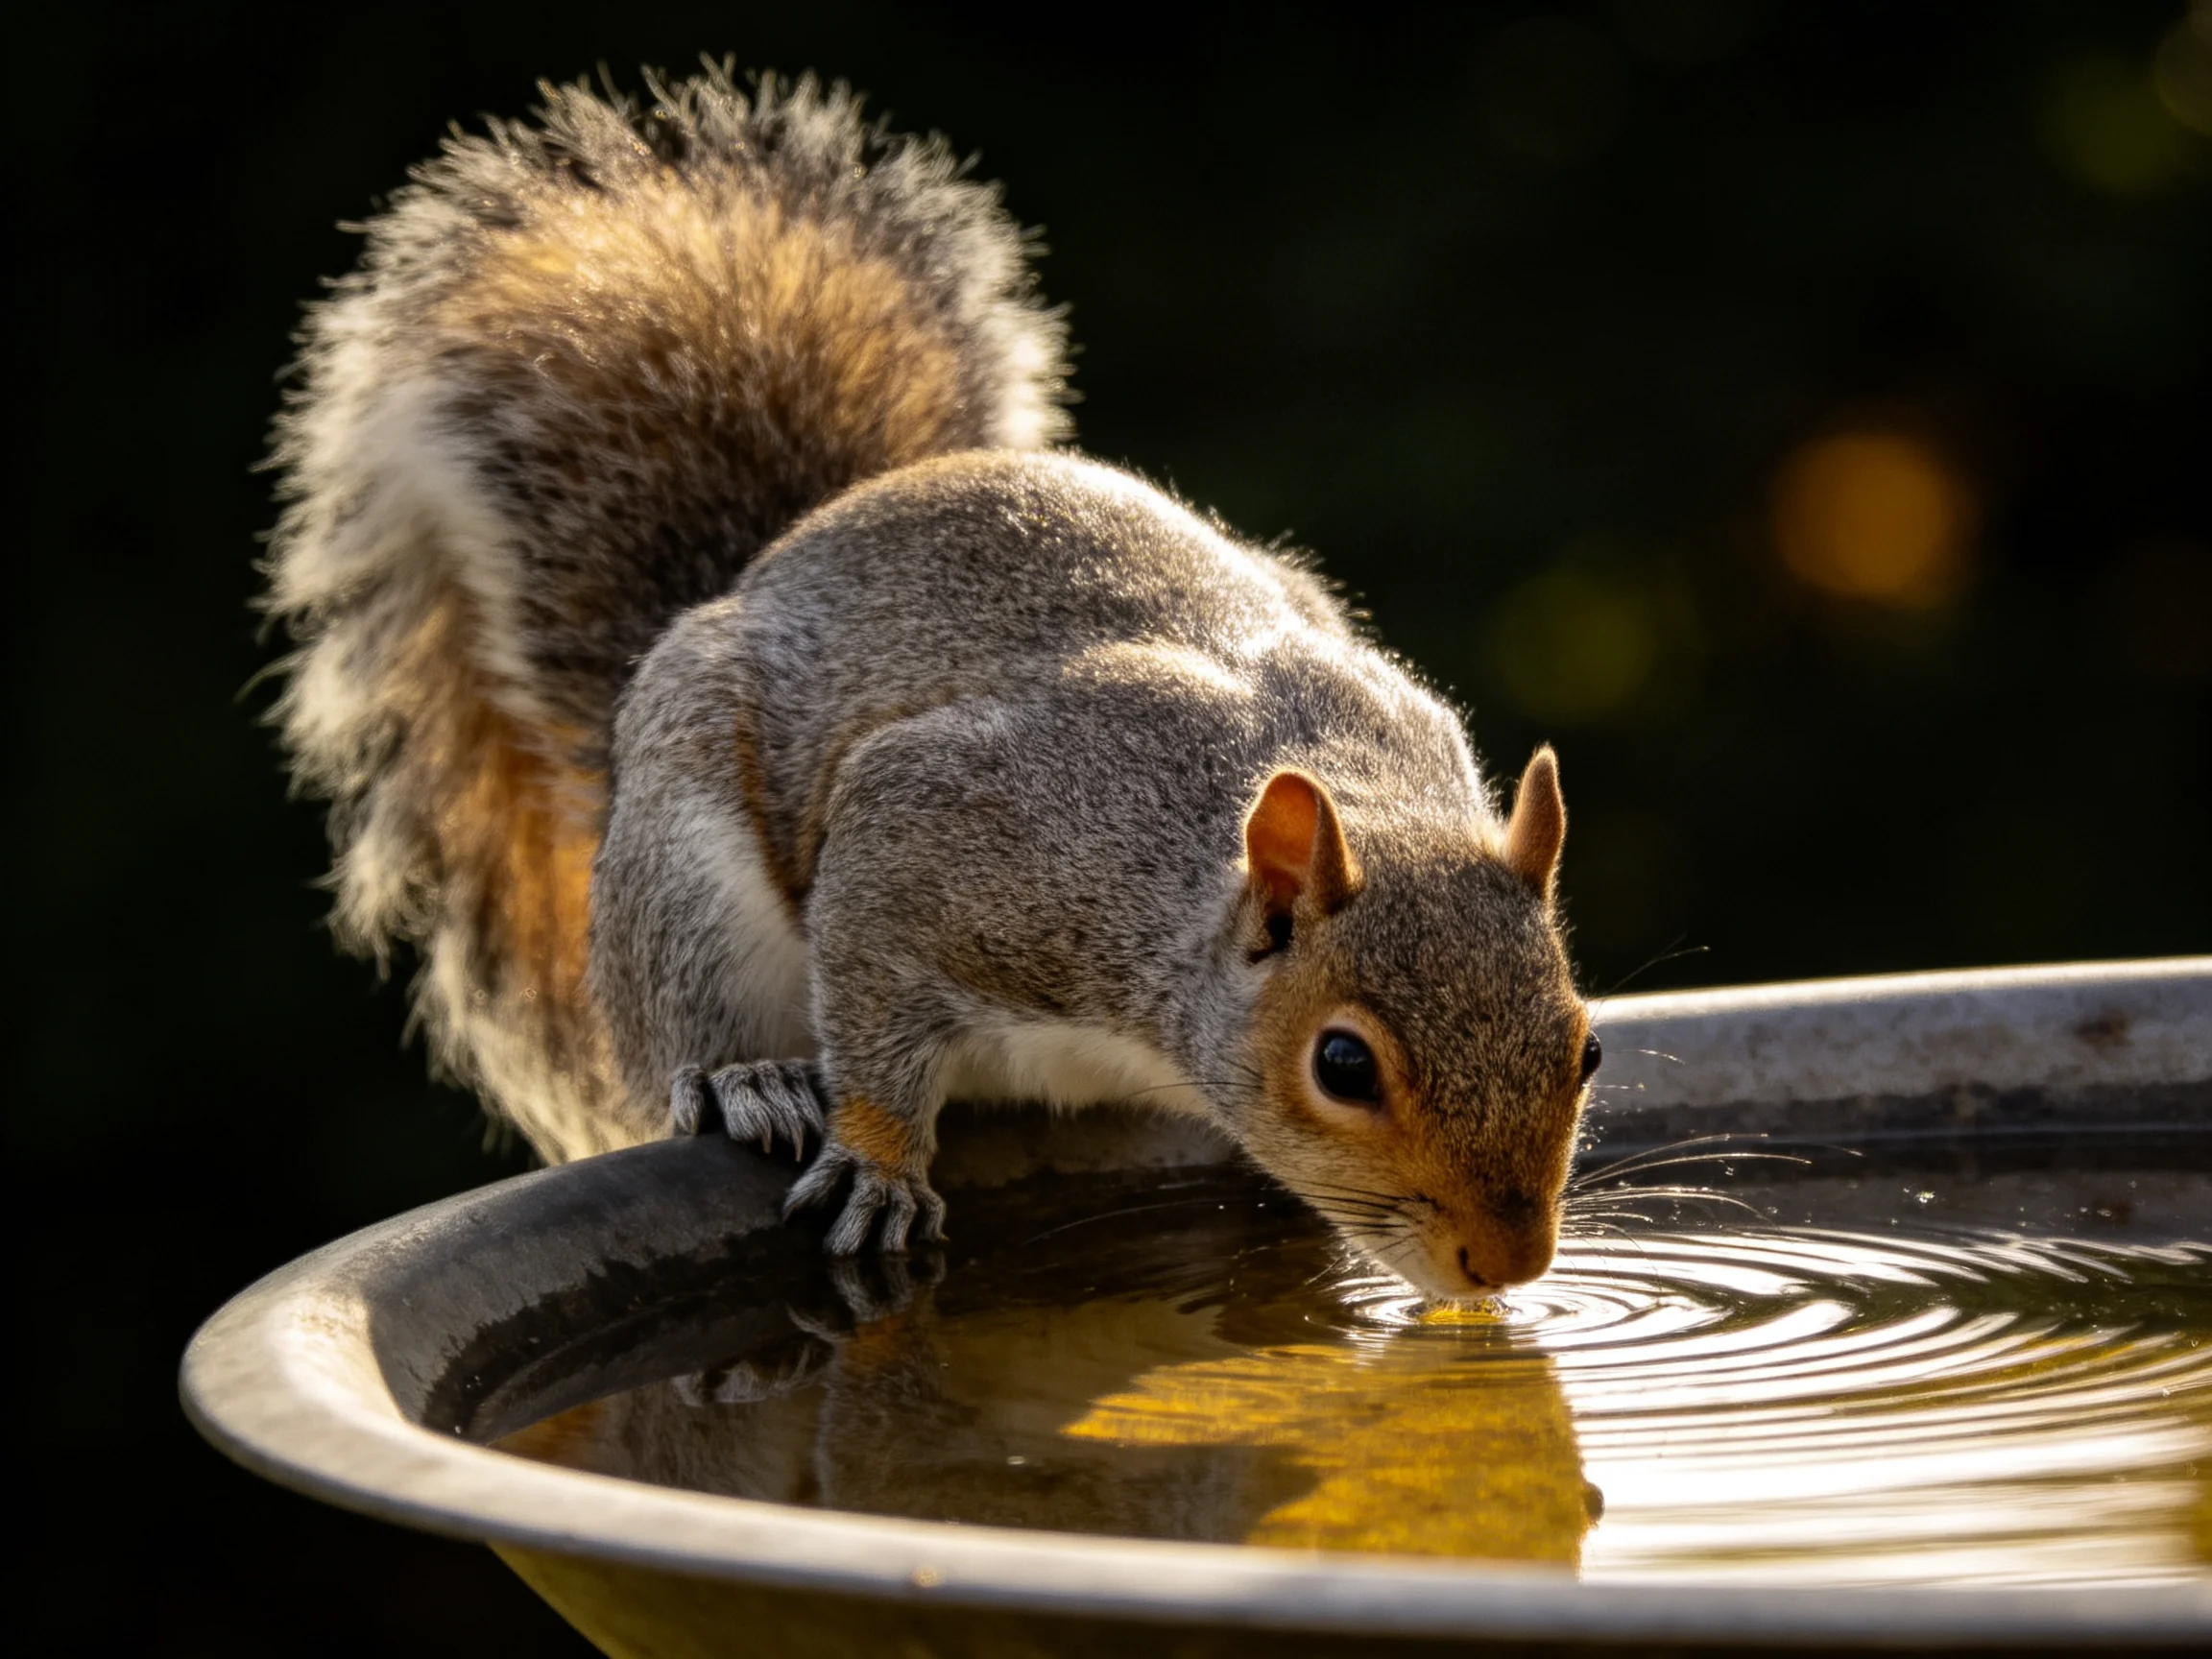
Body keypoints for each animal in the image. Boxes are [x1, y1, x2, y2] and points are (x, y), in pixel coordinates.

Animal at [264, 66, 1598, 1301]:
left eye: (1584, 1050)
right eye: (1343, 1066)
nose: (1510, 1266)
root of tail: (769, 560)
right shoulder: (945, 845)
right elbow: (873, 1005)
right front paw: (877, 1163)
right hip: (685, 871)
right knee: (679, 1034)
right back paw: (748, 1078)